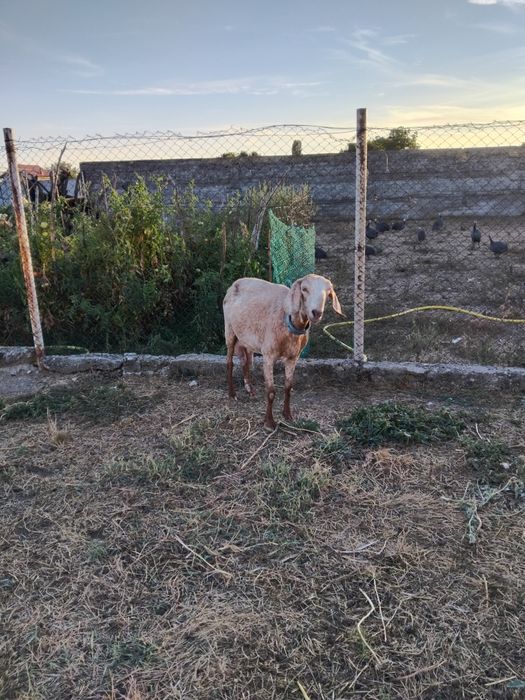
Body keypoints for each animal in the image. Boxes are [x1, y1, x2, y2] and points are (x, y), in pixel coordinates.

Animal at [223, 274, 343, 429]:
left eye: (328, 292)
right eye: (304, 289)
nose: (316, 313)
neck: (288, 320)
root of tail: (235, 284)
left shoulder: (293, 357)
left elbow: (288, 387)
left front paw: (287, 415)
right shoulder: (268, 355)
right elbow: (271, 391)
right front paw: (269, 422)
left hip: (246, 339)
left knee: (246, 362)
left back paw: (250, 390)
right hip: (229, 331)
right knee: (230, 363)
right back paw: (232, 394)